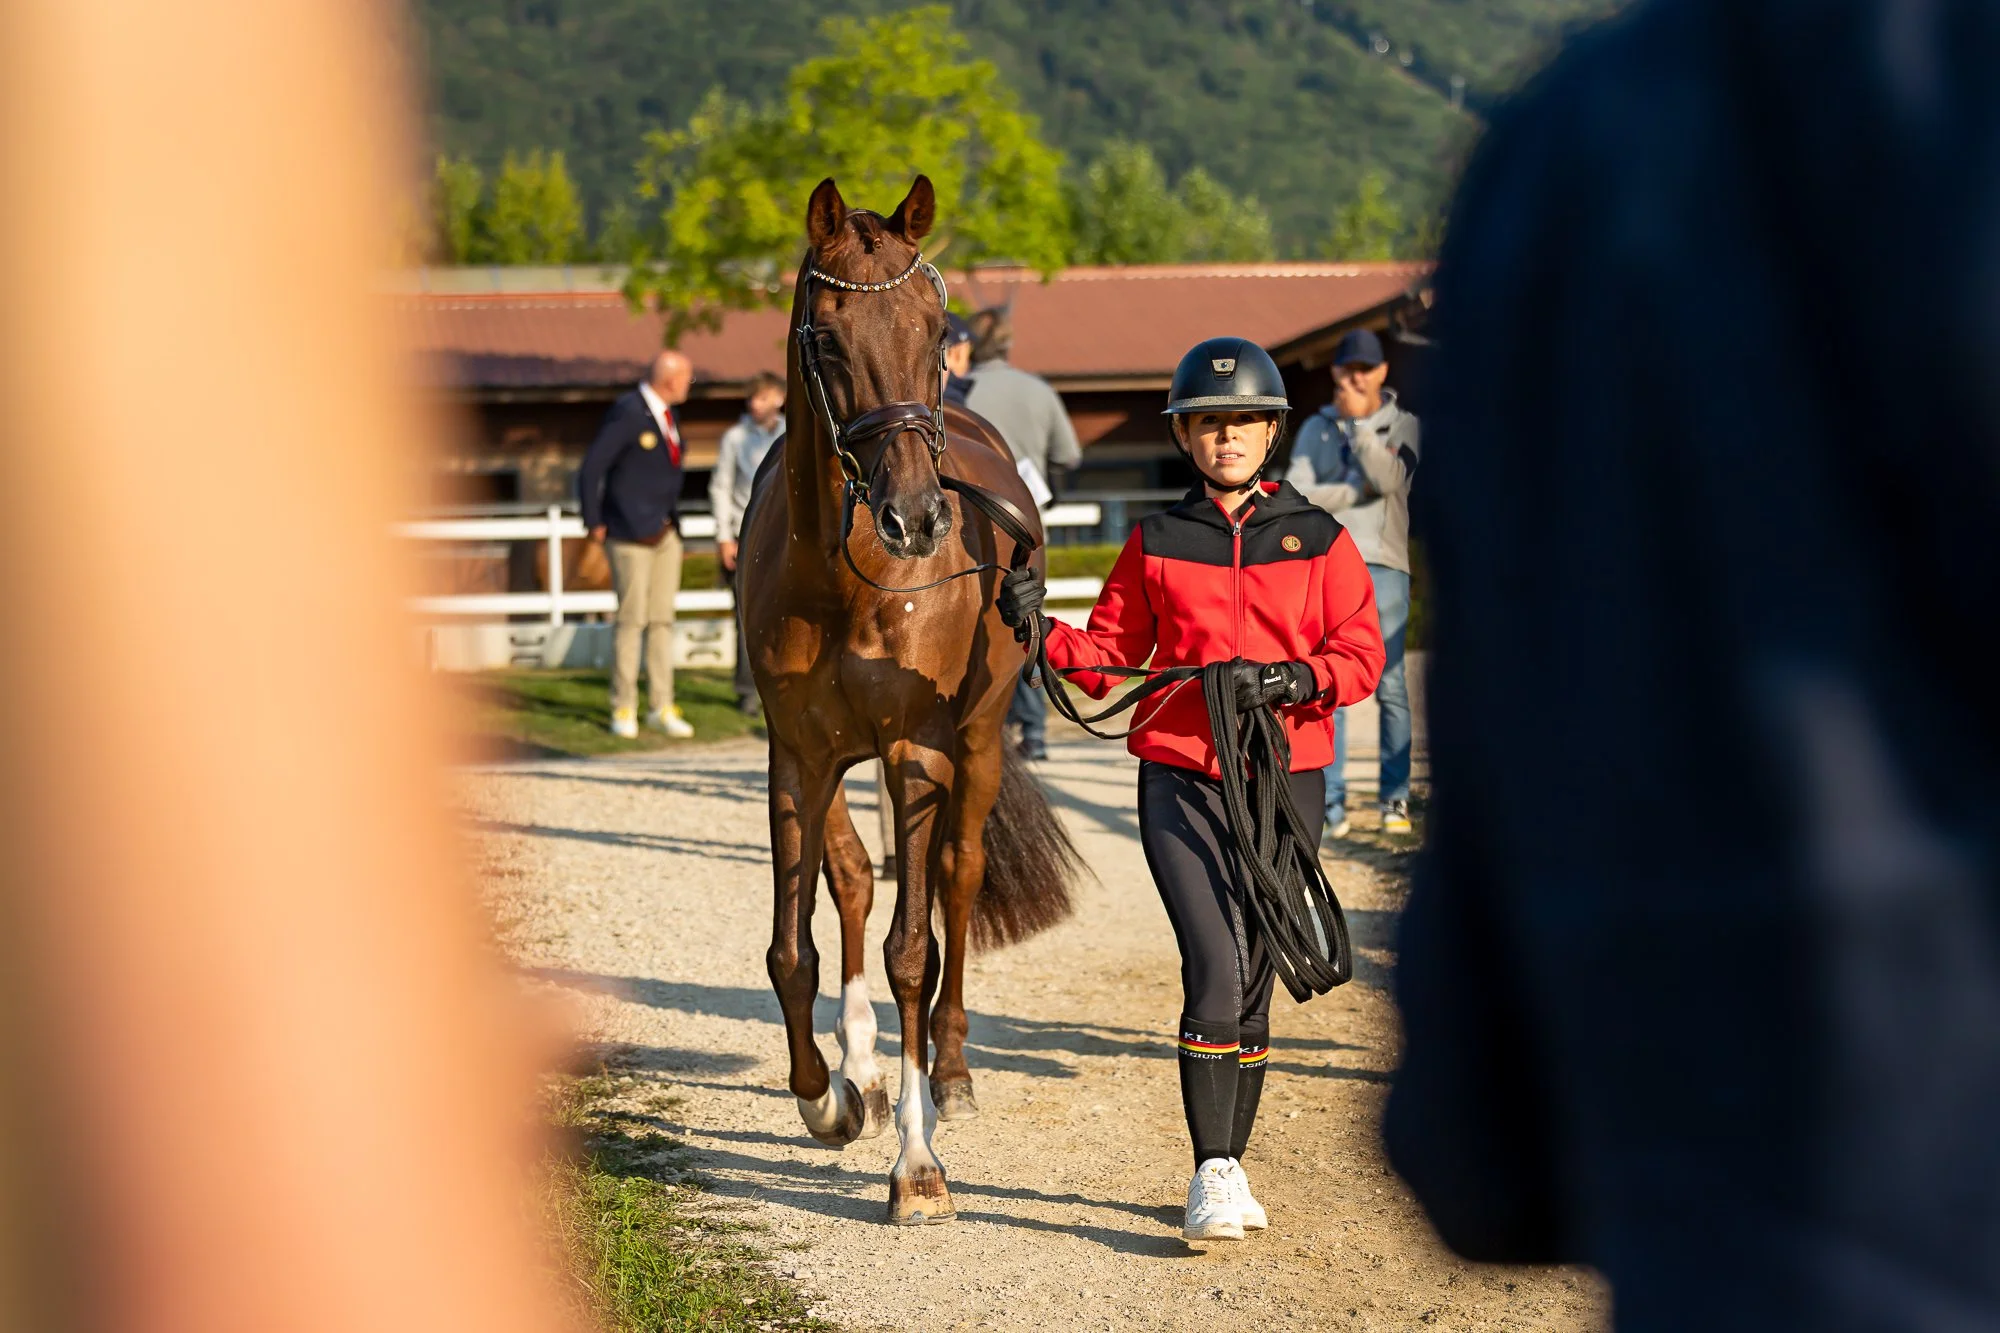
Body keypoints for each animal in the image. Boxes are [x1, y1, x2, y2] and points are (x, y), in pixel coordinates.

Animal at [739, 175, 1082, 1225]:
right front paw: (829, 1096)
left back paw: (955, 1072)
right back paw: (863, 1067)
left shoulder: (916, 752)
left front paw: (918, 1163)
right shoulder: (797, 755)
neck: (841, 575)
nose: (919, 516)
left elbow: (912, 951)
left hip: (973, 746)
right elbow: (795, 948)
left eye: (933, 330)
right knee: (853, 881)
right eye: (826, 338)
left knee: (959, 882)